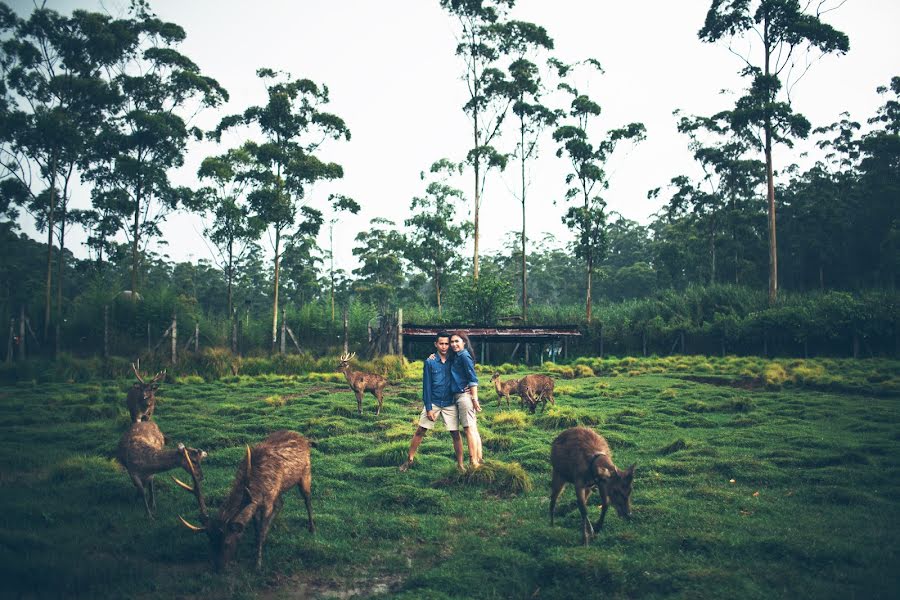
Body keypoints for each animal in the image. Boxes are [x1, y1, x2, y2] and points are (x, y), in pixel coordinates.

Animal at [177, 428, 316, 568]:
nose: (218, 568)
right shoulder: (257, 503)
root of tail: (303, 438)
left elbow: (260, 531)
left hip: (306, 473)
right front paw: (256, 547)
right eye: (210, 542)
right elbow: (256, 528)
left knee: (307, 500)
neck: (256, 488)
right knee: (281, 503)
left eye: (227, 543)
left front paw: (257, 563)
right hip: (281, 489)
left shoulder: (268, 500)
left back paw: (312, 528)